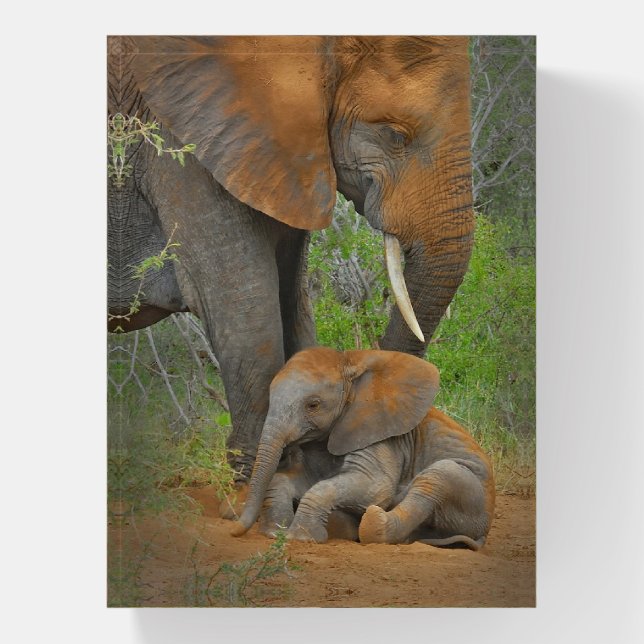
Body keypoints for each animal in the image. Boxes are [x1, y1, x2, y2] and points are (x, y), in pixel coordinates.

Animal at [230, 347, 495, 550]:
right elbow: (295, 479)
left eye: (313, 405)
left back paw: (373, 520)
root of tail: (484, 532)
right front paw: (275, 532)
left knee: (436, 478)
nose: (234, 531)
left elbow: (374, 486)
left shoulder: (381, 436)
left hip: (471, 495)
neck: (351, 364)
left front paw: (301, 538)